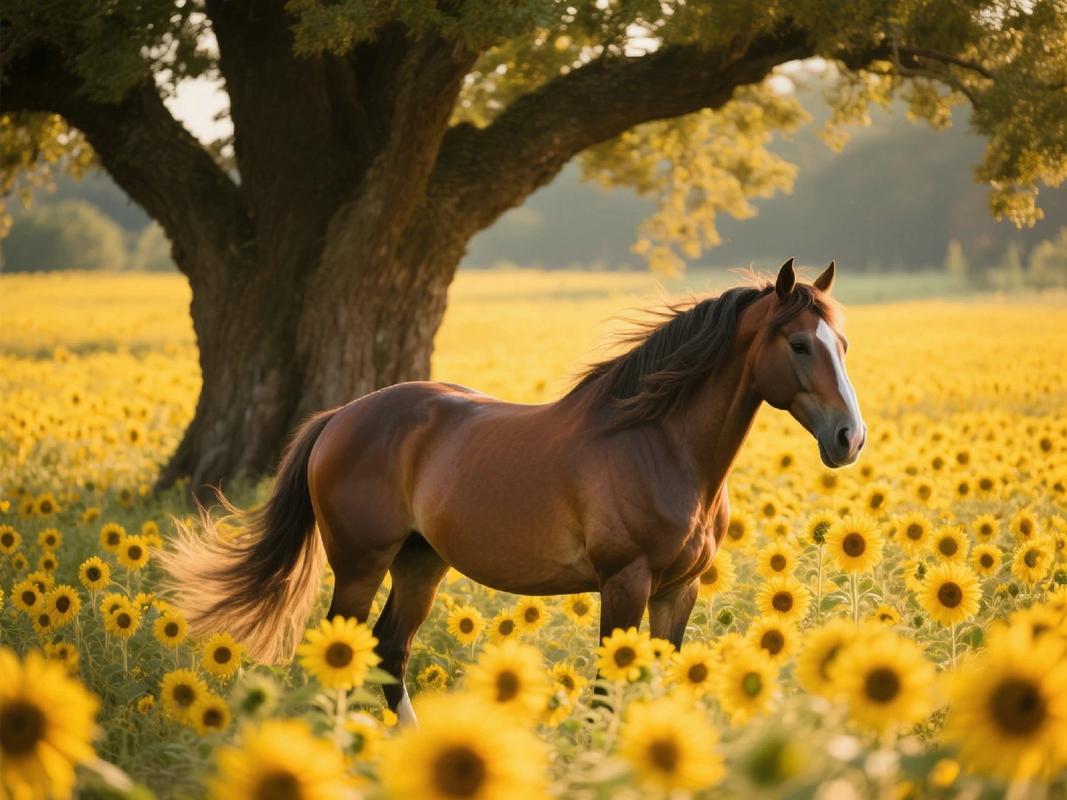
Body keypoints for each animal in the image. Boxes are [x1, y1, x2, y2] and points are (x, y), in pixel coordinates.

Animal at [162, 258, 865, 724]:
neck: (659, 442)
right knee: (347, 649)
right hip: (361, 565)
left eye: (843, 343)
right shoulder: (625, 583)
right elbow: (608, 689)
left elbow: (657, 679)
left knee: (391, 649)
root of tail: (340, 418)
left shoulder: (678, 590)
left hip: (421, 564)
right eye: (799, 344)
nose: (849, 438)